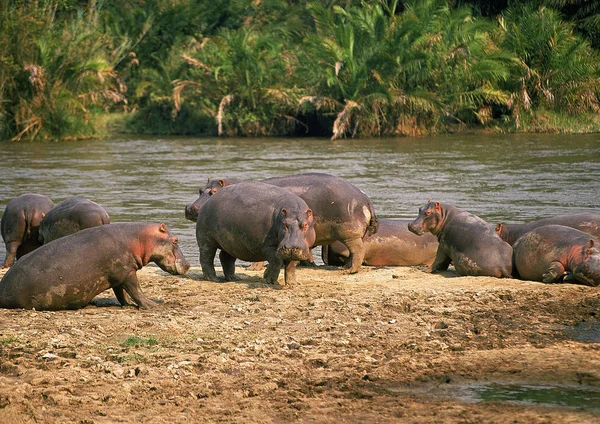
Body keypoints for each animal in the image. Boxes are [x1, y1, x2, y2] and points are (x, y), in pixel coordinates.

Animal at [0, 222, 190, 312]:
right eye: (176, 240)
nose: (188, 264)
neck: (140, 238)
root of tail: (3, 286)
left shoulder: (117, 276)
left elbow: (121, 293)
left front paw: (127, 304)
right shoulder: (127, 272)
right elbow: (136, 290)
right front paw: (152, 305)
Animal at [188, 173, 378, 274]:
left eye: (213, 192)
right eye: (199, 190)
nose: (190, 208)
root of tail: (366, 198)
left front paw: (252, 268)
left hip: (349, 233)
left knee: (358, 250)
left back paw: (349, 270)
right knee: (355, 252)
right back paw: (345, 267)